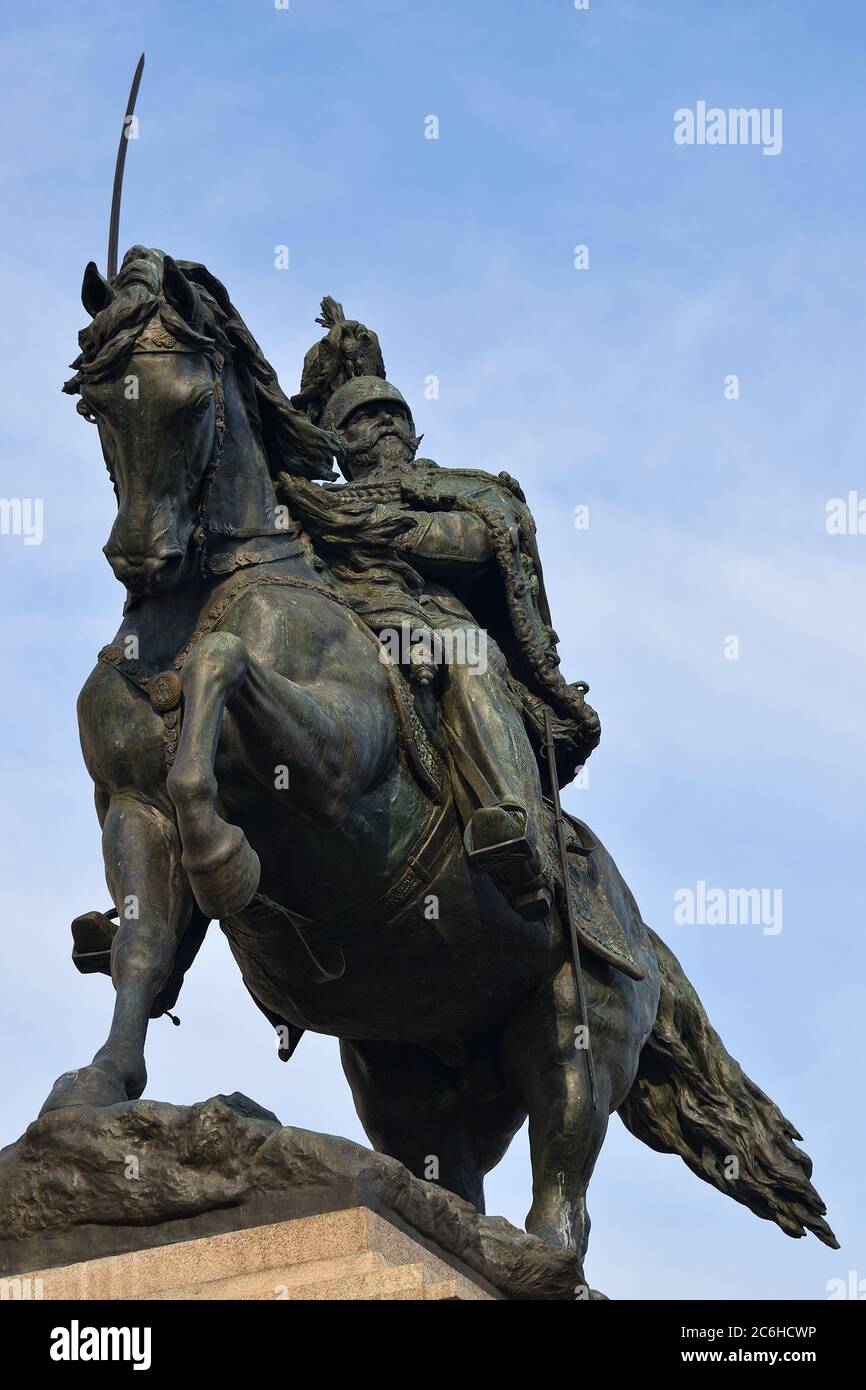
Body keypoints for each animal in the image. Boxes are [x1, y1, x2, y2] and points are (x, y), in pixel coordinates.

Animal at [45, 247, 834, 1278]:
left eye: (190, 400)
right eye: (96, 404)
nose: (144, 558)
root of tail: (645, 939)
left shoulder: (337, 767)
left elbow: (223, 677)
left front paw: (225, 862)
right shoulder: (129, 807)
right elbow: (141, 947)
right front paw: (98, 1086)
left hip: (573, 1031)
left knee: (565, 1199)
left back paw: (531, 1253)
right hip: (404, 1079)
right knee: (448, 1178)